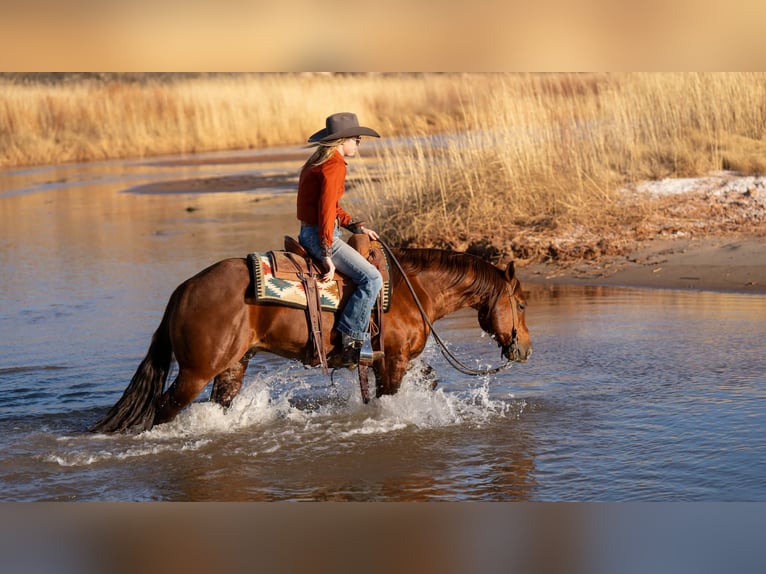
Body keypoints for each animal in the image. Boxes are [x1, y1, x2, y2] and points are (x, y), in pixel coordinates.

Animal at [90, 247, 532, 433]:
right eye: (523, 303)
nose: (525, 348)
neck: (413, 292)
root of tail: (183, 290)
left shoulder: (392, 360)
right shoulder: (393, 360)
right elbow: (390, 400)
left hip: (232, 365)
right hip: (196, 372)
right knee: (163, 410)